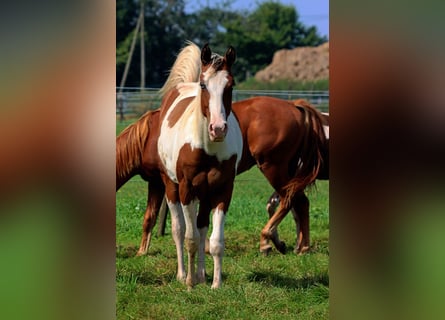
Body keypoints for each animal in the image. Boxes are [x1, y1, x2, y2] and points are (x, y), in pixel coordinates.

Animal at [155, 41, 239, 288]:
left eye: (230, 85)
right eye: (204, 84)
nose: (218, 129)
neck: (207, 148)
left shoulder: (223, 191)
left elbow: (215, 241)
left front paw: (215, 284)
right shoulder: (186, 189)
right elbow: (189, 237)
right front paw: (190, 283)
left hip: (206, 193)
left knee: (202, 228)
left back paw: (202, 274)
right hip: (171, 187)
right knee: (179, 229)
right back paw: (183, 274)